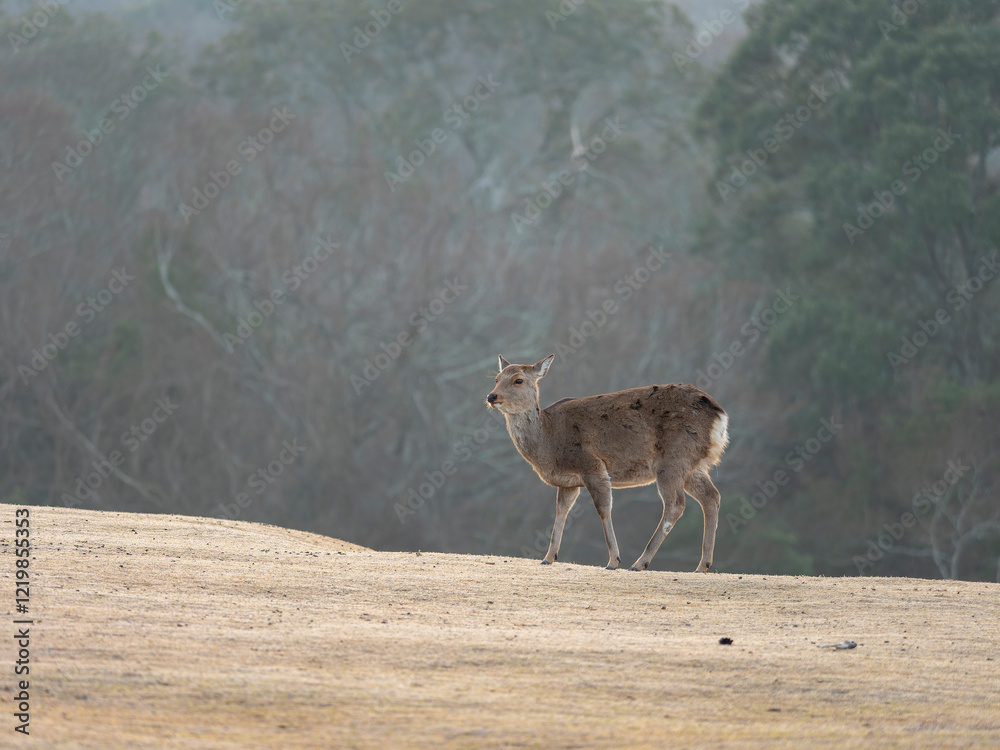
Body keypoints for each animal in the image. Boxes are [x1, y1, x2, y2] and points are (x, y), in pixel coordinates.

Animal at [488, 356, 732, 572]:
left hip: (673, 459)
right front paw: (548, 557)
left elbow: (603, 509)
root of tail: (720, 416)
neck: (548, 441)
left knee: (675, 504)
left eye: (518, 380)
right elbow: (561, 511)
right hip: (693, 466)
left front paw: (613, 560)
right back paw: (702, 565)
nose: (491, 396)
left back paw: (639, 563)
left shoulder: (592, 465)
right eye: (497, 378)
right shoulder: (569, 482)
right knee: (711, 496)